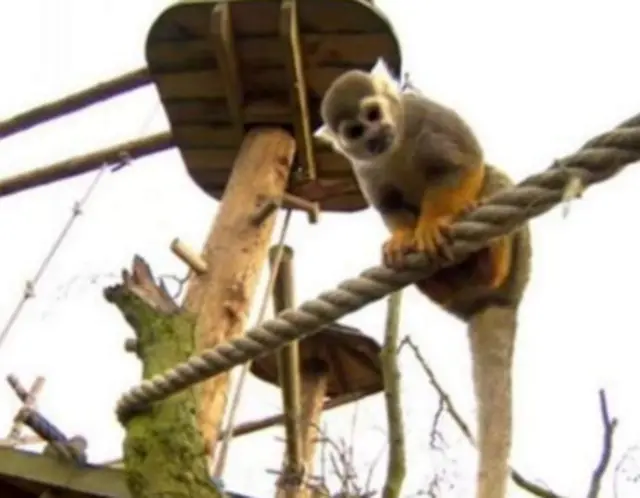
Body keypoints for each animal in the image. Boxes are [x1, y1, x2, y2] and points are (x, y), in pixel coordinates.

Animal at [314, 59, 528, 498]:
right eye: (355, 132)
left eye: (373, 114)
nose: (375, 135)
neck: (395, 141)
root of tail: (492, 302)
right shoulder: (363, 167)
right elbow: (389, 204)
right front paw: (401, 238)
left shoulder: (424, 115)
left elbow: (463, 164)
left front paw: (433, 222)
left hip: (518, 268)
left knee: (493, 175)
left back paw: (489, 257)